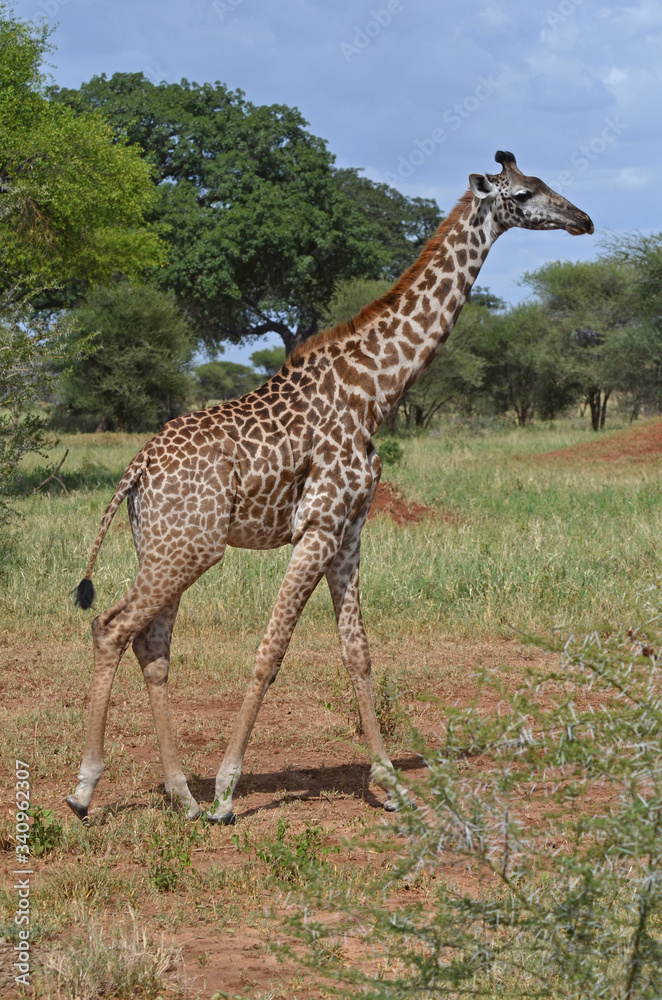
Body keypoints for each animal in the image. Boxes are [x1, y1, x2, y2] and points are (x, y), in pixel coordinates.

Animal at [67, 151, 593, 824]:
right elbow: (271, 650)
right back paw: (88, 791)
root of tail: (135, 469)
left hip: (164, 545)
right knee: (111, 627)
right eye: (525, 193)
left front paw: (391, 785)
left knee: (151, 647)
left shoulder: (350, 529)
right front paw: (228, 793)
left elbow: (358, 652)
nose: (583, 219)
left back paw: (180, 795)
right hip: (190, 547)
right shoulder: (317, 525)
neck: (376, 391)